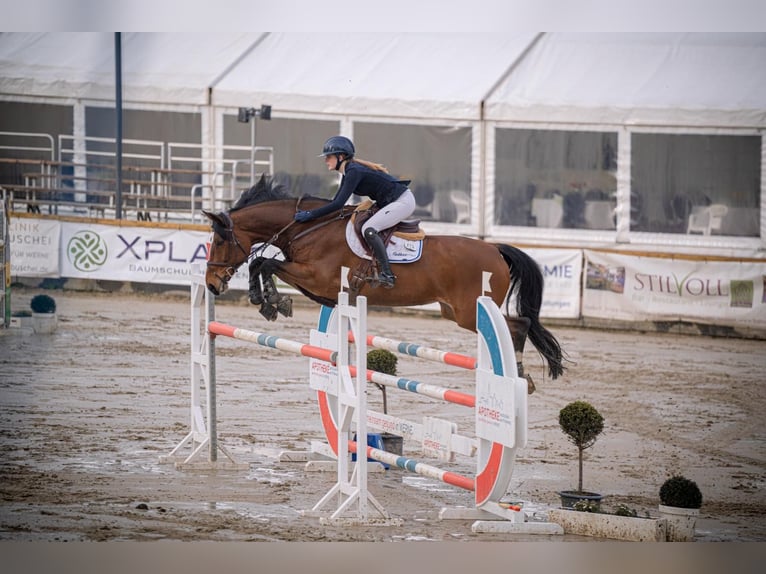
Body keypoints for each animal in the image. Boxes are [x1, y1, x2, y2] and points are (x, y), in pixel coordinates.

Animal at [203, 175, 565, 381]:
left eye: (218, 240)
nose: (211, 284)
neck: (308, 228)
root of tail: (495, 250)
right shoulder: (322, 289)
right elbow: (261, 263)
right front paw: (268, 301)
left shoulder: (317, 278)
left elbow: (264, 263)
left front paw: (273, 302)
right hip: (454, 311)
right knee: (515, 325)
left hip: (468, 311)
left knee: (518, 325)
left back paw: (519, 373)